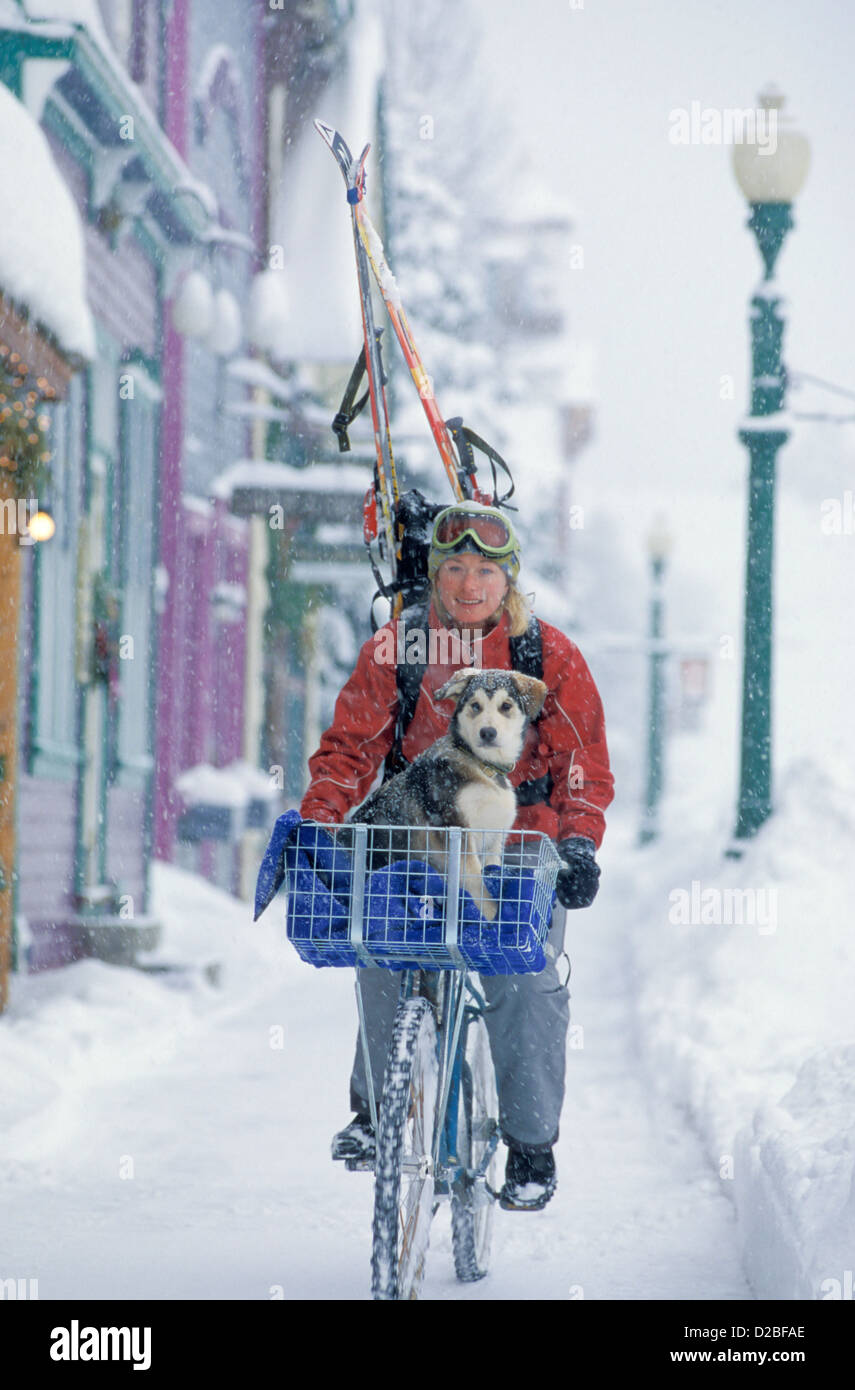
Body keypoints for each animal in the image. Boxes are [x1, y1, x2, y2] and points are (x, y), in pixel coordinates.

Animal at [353, 672, 547, 922]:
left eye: (506, 706)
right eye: (475, 705)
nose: (487, 732)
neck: (482, 766)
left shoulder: (494, 841)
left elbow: (491, 872)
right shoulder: (457, 831)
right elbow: (478, 887)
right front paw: (490, 920)